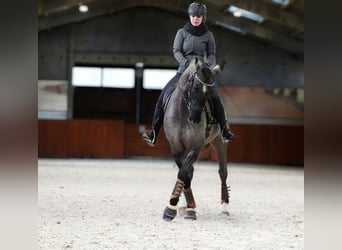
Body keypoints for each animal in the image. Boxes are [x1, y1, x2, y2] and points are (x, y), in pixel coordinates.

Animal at [162, 57, 230, 221]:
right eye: (194, 88)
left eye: (210, 93)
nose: (195, 119)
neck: (183, 112)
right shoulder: (176, 149)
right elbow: (185, 175)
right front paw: (184, 207)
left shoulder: (195, 147)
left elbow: (183, 173)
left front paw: (172, 208)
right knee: (191, 172)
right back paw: (184, 206)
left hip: (219, 142)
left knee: (223, 172)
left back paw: (225, 208)